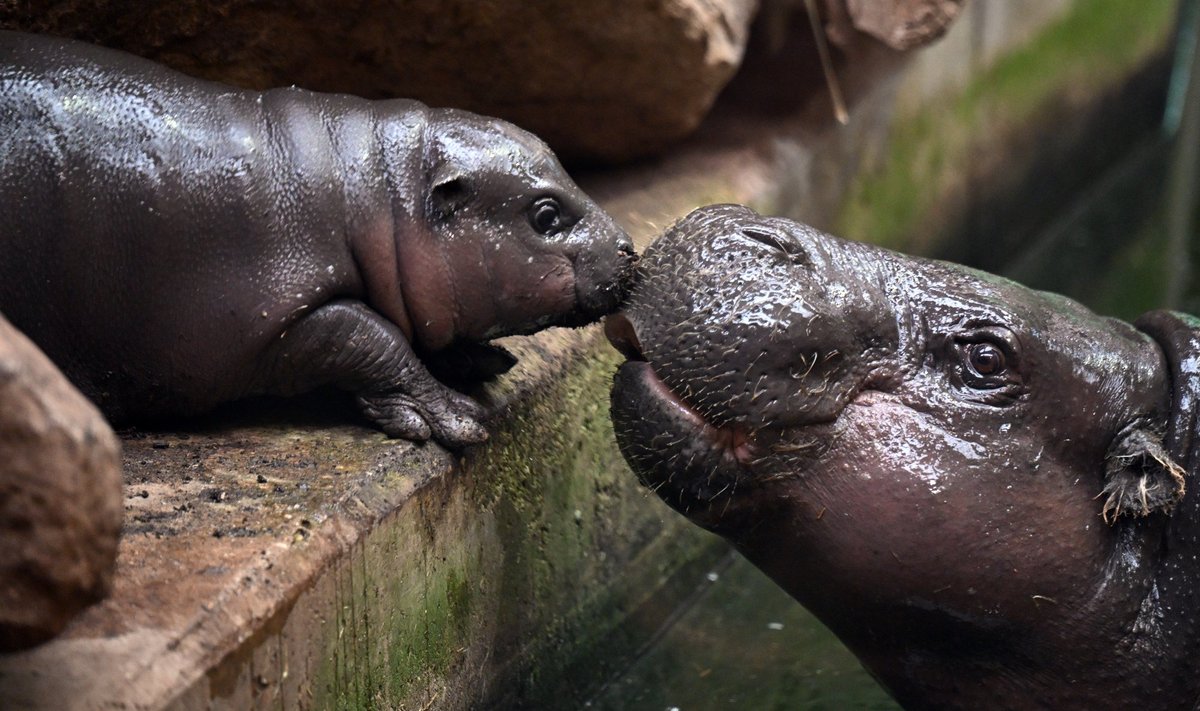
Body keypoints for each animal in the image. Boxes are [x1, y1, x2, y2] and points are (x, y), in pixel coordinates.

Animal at [0, 33, 638, 446]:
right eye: (546, 214)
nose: (630, 249)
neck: (375, 193)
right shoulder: (275, 318)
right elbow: (370, 335)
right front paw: (454, 418)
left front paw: (481, 360)